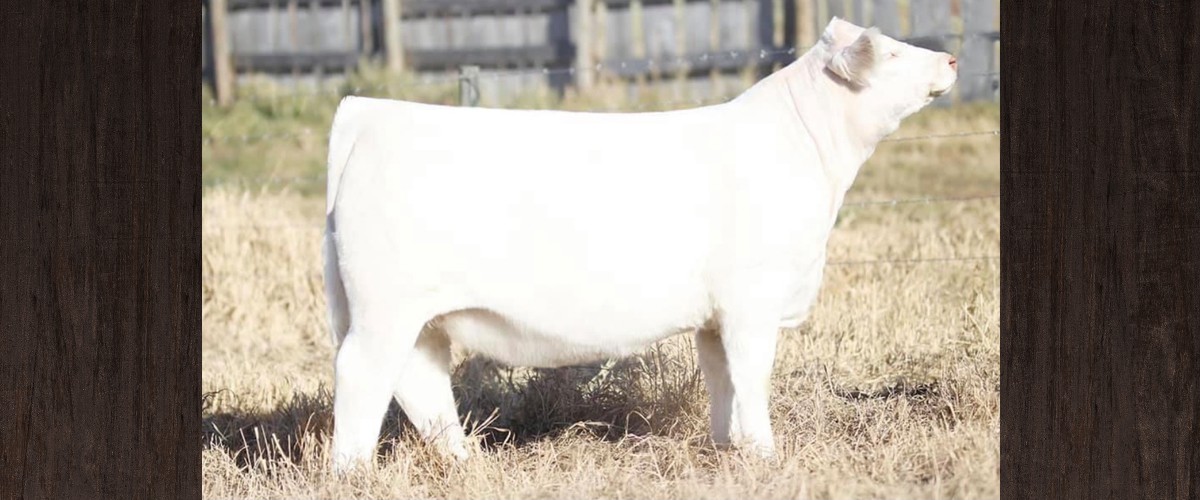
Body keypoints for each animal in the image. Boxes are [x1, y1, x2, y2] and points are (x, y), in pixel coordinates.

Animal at [322, 17, 958, 472]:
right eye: (890, 53)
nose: (950, 59)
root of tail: (368, 112)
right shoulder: (752, 301)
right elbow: (752, 376)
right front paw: (767, 456)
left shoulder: (715, 316)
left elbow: (722, 381)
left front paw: (729, 451)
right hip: (385, 306)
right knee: (364, 375)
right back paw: (354, 473)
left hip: (418, 315)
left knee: (419, 380)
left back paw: (467, 464)